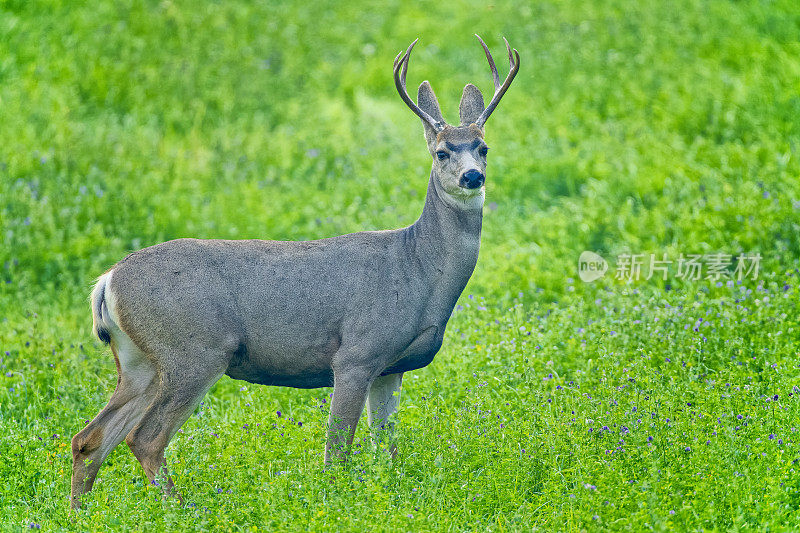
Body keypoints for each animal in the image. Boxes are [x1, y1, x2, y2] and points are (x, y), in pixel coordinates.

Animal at [69, 35, 520, 510]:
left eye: (484, 147)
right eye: (442, 151)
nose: (472, 177)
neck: (418, 269)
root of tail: (107, 282)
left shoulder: (391, 367)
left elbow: (388, 448)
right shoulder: (357, 353)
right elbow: (337, 452)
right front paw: (335, 501)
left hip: (139, 360)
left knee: (90, 438)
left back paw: (81, 515)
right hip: (194, 350)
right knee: (145, 438)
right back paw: (182, 509)